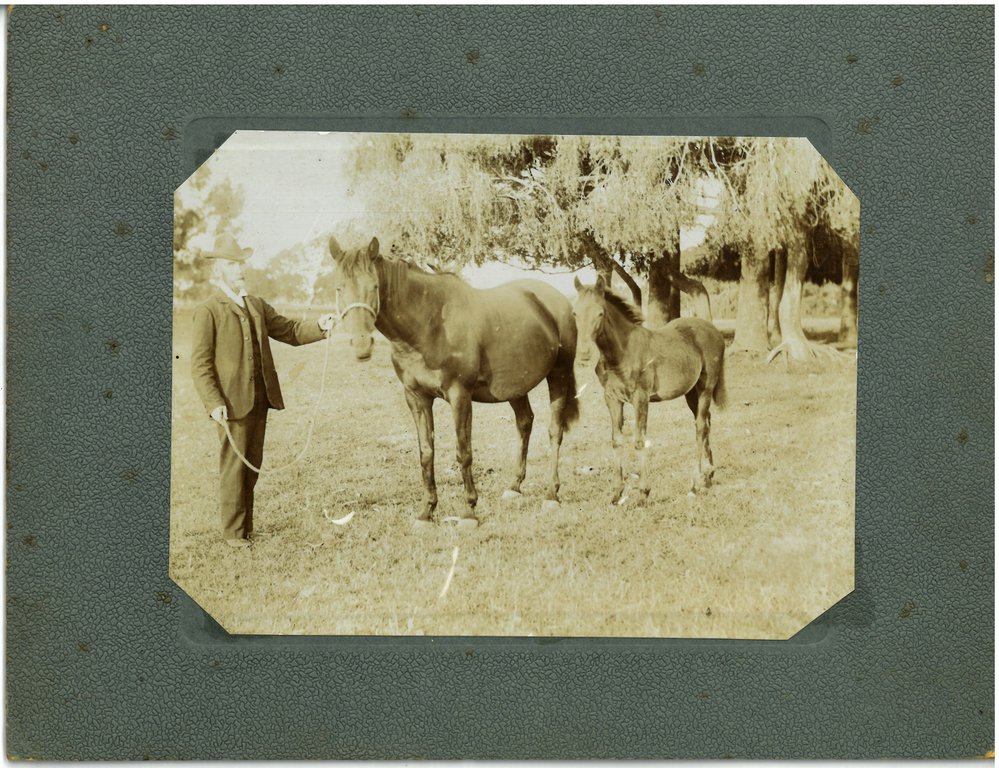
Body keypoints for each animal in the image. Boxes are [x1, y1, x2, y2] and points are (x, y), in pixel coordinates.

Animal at [328, 236, 580, 529]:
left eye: (375, 287)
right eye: (338, 288)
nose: (361, 345)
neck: (430, 324)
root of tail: (557, 300)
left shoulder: (459, 396)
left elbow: (463, 451)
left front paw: (469, 511)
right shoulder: (416, 397)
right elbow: (426, 452)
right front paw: (426, 512)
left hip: (559, 374)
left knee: (554, 431)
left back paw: (551, 495)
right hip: (516, 386)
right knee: (524, 422)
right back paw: (514, 487)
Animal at [572, 276, 727, 504]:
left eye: (600, 313)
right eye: (575, 313)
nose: (583, 353)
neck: (622, 352)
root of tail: (714, 330)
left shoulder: (641, 398)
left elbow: (639, 440)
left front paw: (643, 493)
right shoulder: (611, 398)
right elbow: (616, 440)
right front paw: (616, 493)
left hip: (706, 388)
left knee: (700, 427)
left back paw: (694, 484)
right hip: (692, 393)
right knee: (706, 424)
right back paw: (707, 477)